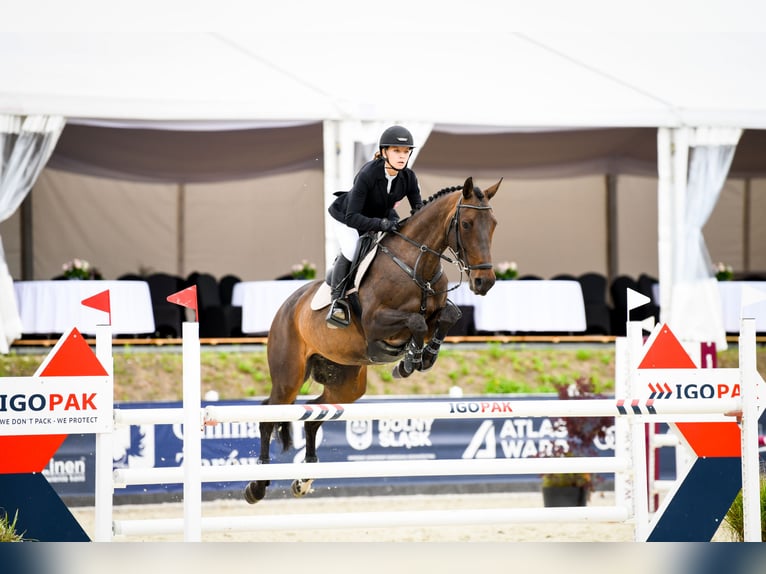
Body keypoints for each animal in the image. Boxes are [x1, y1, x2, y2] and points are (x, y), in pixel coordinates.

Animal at [243, 178, 500, 506]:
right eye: (466, 224)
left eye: (493, 224)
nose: (485, 283)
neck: (417, 265)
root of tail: (288, 305)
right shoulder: (376, 322)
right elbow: (415, 322)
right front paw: (409, 361)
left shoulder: (436, 314)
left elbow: (448, 316)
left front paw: (423, 356)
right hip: (288, 375)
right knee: (269, 415)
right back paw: (257, 485)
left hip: (346, 382)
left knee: (313, 415)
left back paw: (304, 479)